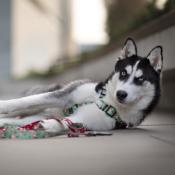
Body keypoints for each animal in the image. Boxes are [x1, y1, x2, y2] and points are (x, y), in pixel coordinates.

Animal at [0, 38, 163, 134]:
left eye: (140, 79)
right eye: (123, 73)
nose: (121, 94)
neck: (106, 102)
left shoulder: (84, 120)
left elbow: (65, 123)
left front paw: (50, 126)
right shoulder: (64, 95)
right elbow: (25, 101)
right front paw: (3, 104)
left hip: (34, 116)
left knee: (14, 121)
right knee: (21, 109)